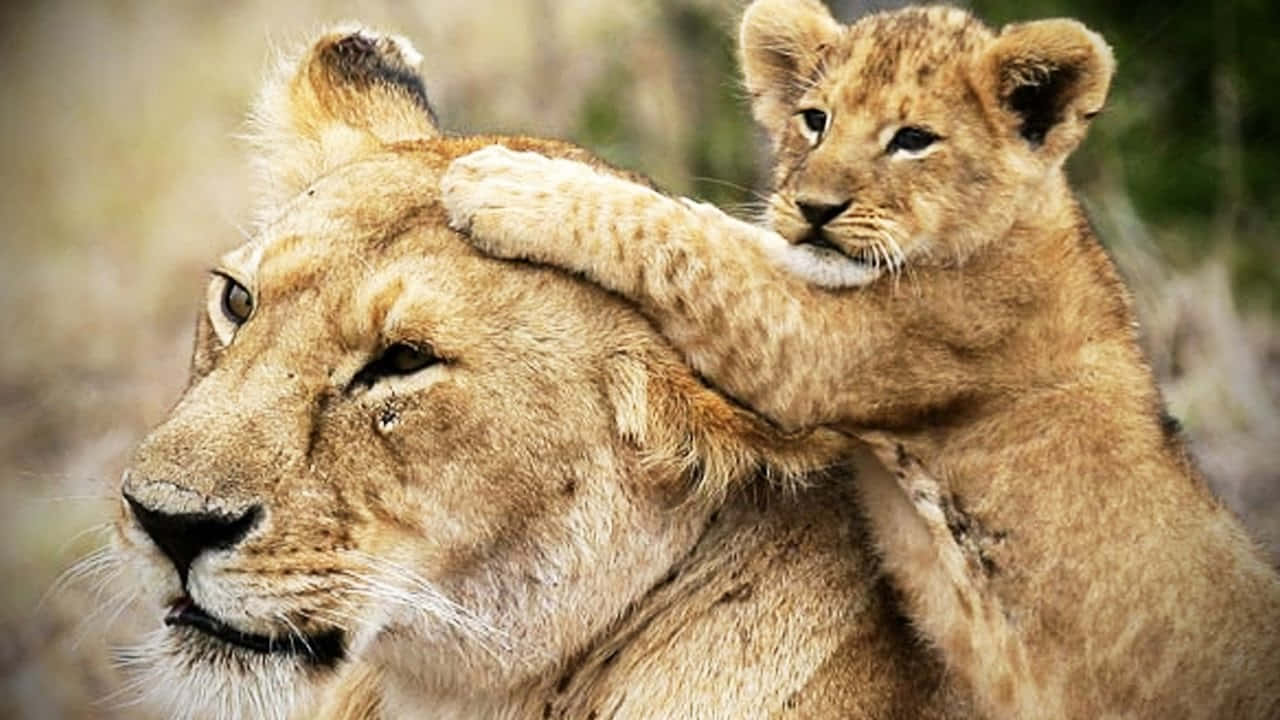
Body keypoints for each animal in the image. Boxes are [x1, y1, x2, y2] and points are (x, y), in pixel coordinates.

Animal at [439, 1, 1280, 718]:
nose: (815, 209)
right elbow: (713, 230)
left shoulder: (827, 342)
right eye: (815, 120)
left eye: (912, 139)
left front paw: (504, 182)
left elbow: (681, 238)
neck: (1027, 223)